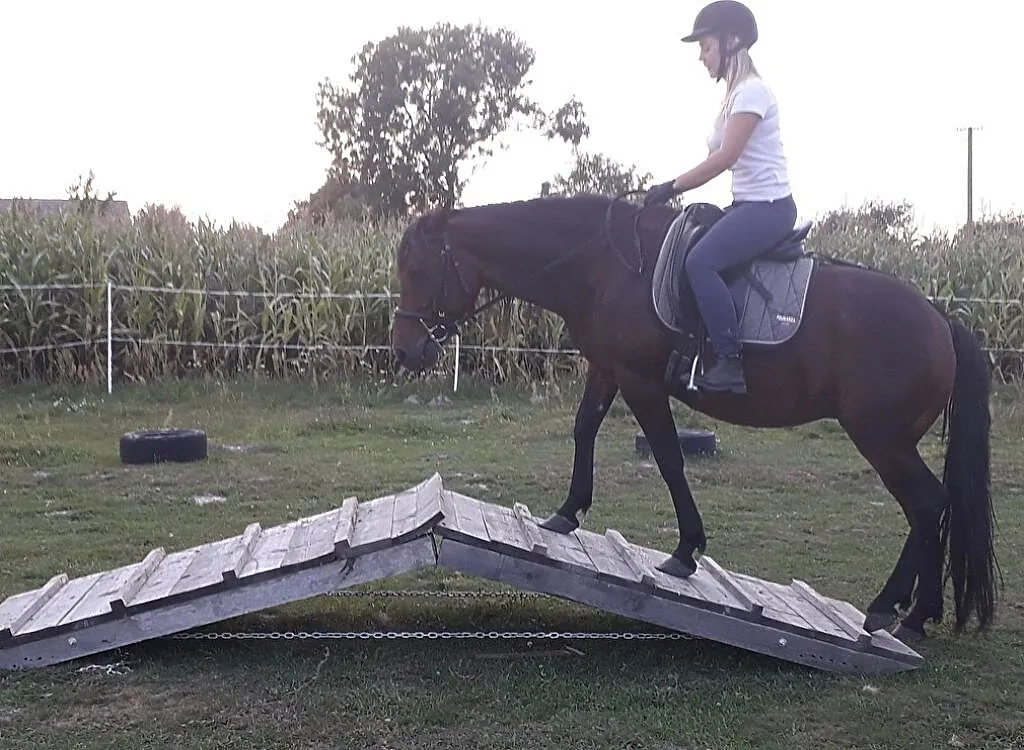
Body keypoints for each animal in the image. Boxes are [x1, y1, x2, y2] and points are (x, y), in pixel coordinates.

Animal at [389, 191, 999, 642]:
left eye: (418, 268)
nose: (405, 350)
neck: (604, 265)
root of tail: (941, 320)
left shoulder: (640, 381)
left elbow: (668, 457)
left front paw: (685, 551)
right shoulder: (607, 369)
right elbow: (584, 428)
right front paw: (566, 514)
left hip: (881, 438)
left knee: (927, 504)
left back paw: (894, 610)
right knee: (932, 507)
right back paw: (911, 612)